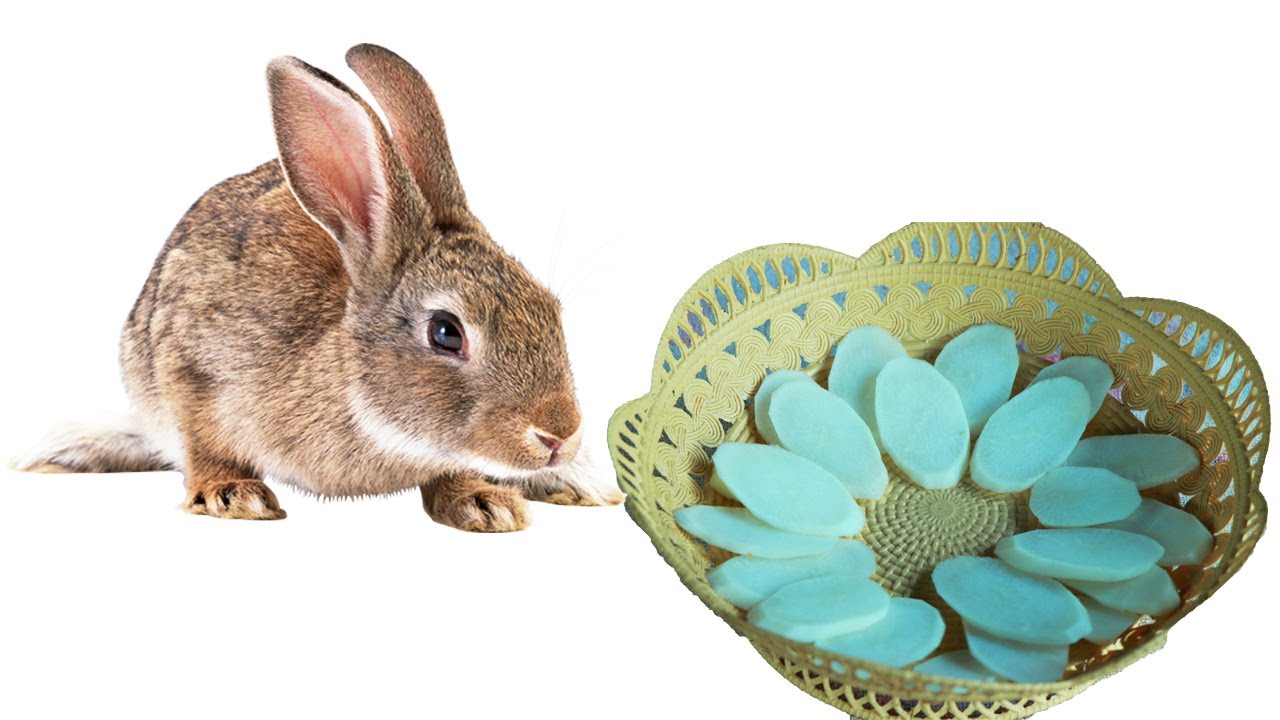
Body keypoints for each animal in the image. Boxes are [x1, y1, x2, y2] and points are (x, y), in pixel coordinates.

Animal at [14, 44, 622, 530]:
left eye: (551, 308)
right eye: (446, 332)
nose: (559, 433)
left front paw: (484, 503)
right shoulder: (190, 369)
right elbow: (205, 444)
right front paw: (232, 496)